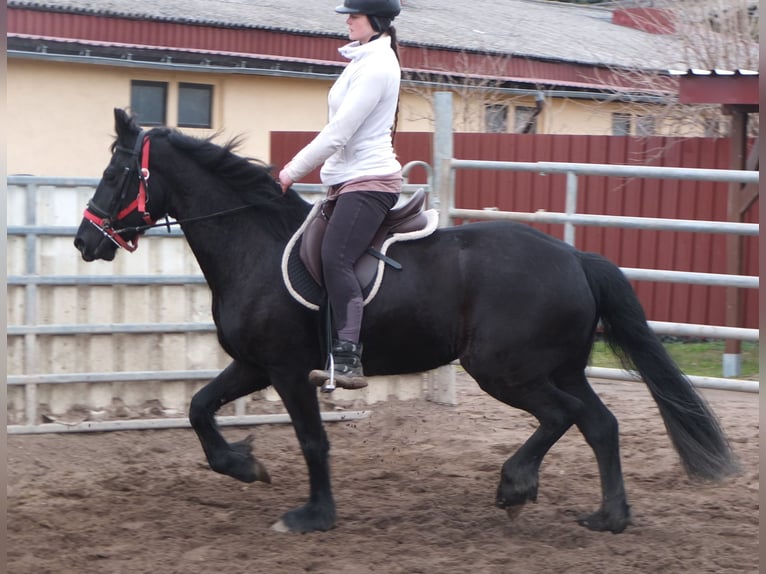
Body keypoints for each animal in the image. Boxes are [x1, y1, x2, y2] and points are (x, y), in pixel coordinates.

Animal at [76, 111, 736, 536]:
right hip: (557, 367)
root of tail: (575, 257)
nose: (86, 241)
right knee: (599, 423)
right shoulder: (254, 364)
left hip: (505, 371)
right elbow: (198, 408)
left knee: (564, 416)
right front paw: (244, 466)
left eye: (113, 174)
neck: (253, 244)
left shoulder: (288, 370)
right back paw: (608, 517)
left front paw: (313, 516)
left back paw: (515, 486)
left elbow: (312, 439)